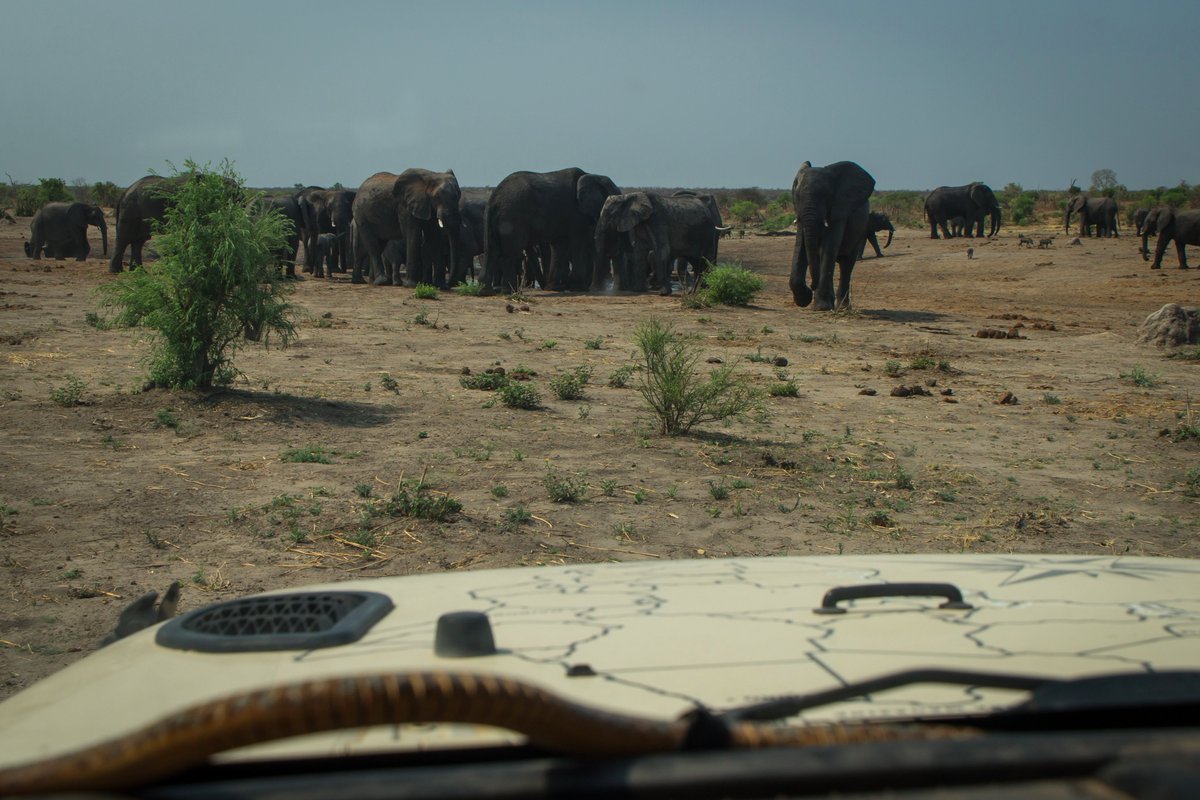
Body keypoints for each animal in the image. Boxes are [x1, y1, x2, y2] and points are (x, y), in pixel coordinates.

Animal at [482, 167, 621, 293]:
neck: (592, 175)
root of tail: (494, 198)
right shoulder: (576, 213)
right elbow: (578, 243)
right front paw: (578, 288)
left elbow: (560, 246)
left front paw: (556, 288)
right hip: (513, 217)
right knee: (510, 253)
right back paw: (509, 291)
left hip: (494, 217)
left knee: (491, 250)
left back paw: (486, 292)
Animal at [790, 160, 876, 311]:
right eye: (798, 196)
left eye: (826, 196)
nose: (810, 287)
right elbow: (801, 245)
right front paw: (806, 299)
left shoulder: (839, 210)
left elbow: (829, 247)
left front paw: (820, 307)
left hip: (860, 231)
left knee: (846, 265)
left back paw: (843, 307)